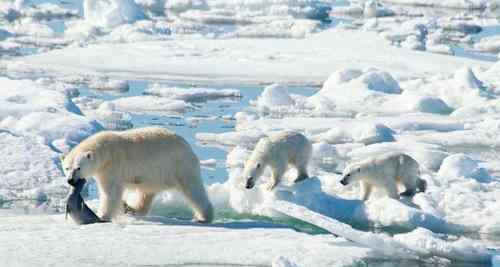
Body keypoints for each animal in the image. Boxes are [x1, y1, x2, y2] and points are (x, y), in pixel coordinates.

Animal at [61, 126, 213, 223]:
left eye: (78, 168)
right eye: (67, 168)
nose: (70, 181)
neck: (105, 150)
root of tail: (188, 147)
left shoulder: (112, 166)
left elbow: (110, 192)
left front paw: (102, 215)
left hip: (178, 166)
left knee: (193, 190)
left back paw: (203, 217)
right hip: (154, 175)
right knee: (146, 193)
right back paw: (131, 209)